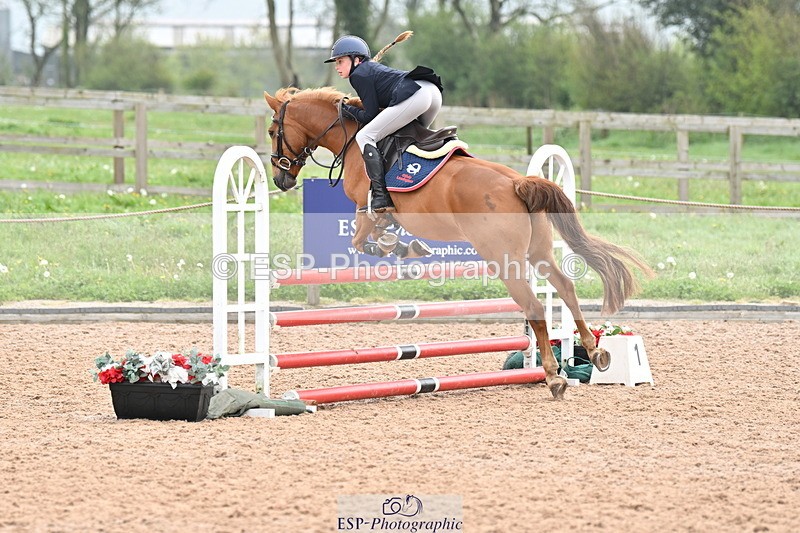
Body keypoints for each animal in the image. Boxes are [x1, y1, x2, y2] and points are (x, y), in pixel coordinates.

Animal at [263, 87, 653, 400]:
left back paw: (554, 377)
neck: (354, 136)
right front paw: (405, 247)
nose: (281, 180)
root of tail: (519, 183)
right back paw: (594, 352)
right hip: (539, 253)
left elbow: (364, 241)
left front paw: (398, 247)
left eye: (271, 130)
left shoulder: (367, 210)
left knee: (534, 307)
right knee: (565, 288)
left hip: (505, 261)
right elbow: (379, 237)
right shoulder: (379, 214)